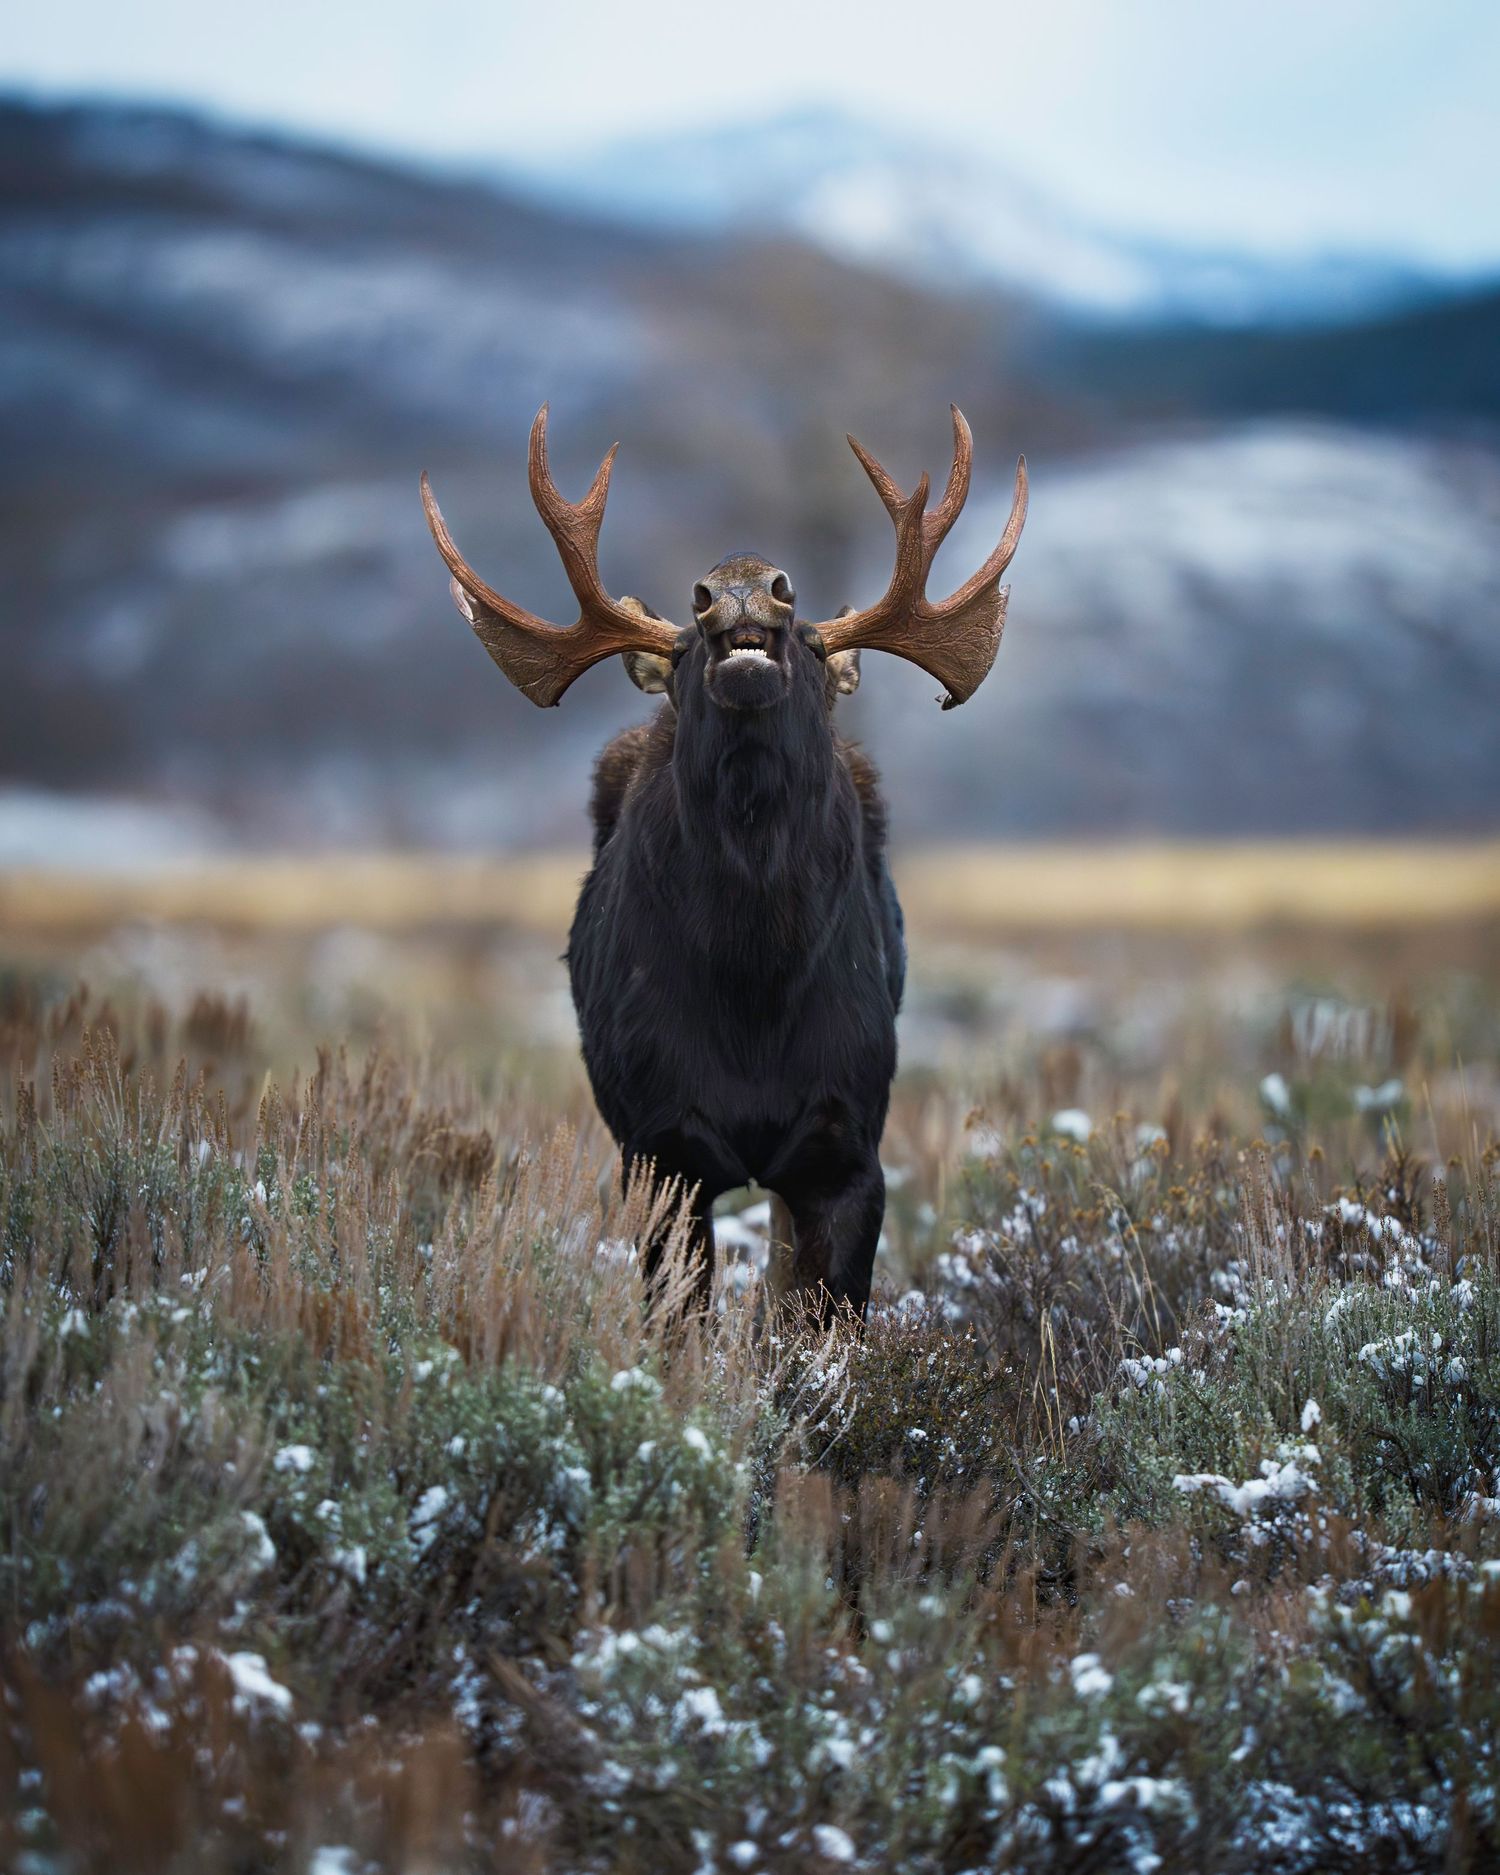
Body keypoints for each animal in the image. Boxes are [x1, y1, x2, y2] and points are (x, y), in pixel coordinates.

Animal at [421, 406, 1026, 1321]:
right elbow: (678, 1320)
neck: (755, 975)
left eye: (810, 642)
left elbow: (820, 1324)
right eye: (680, 651)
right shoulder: (661, 1147)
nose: (740, 585)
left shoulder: (848, 1144)